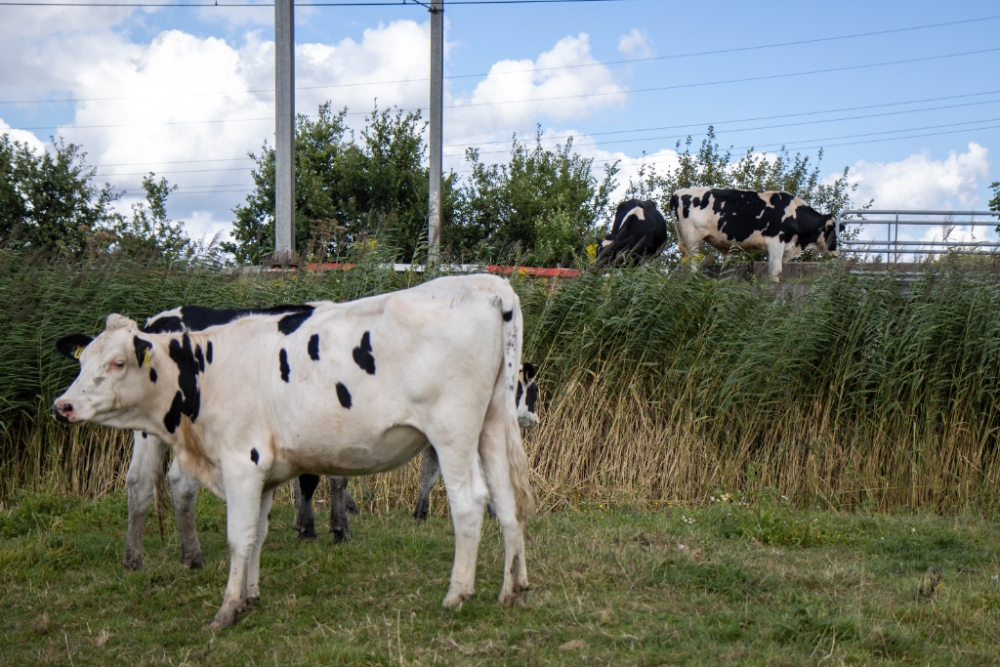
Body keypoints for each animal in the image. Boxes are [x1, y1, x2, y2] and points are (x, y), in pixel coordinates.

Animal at [50, 276, 536, 632]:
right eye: (82, 360)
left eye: (117, 362)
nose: (63, 405)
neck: (209, 368)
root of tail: (486, 284)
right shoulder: (264, 471)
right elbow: (258, 535)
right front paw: (250, 597)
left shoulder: (240, 463)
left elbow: (239, 535)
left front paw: (226, 610)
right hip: (492, 424)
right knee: (507, 502)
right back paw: (512, 590)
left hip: (453, 431)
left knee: (470, 504)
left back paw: (457, 595)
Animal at [668, 188, 840, 282]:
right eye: (834, 231)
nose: (837, 252)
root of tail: (678, 192)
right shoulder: (776, 242)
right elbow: (776, 270)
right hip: (692, 238)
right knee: (692, 264)